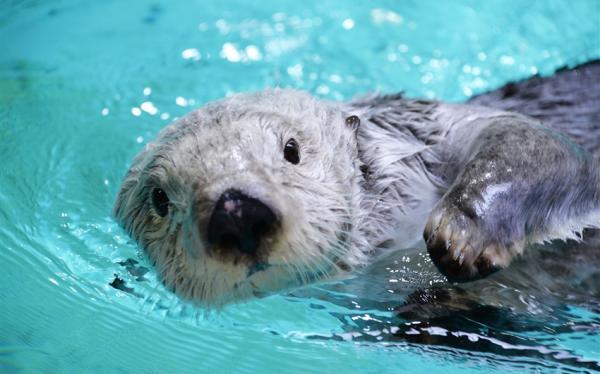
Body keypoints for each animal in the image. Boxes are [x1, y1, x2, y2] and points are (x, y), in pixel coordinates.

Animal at [112, 61, 600, 306]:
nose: (237, 214)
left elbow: (536, 145)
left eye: (291, 150)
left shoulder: (433, 132)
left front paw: (462, 234)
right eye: (160, 200)